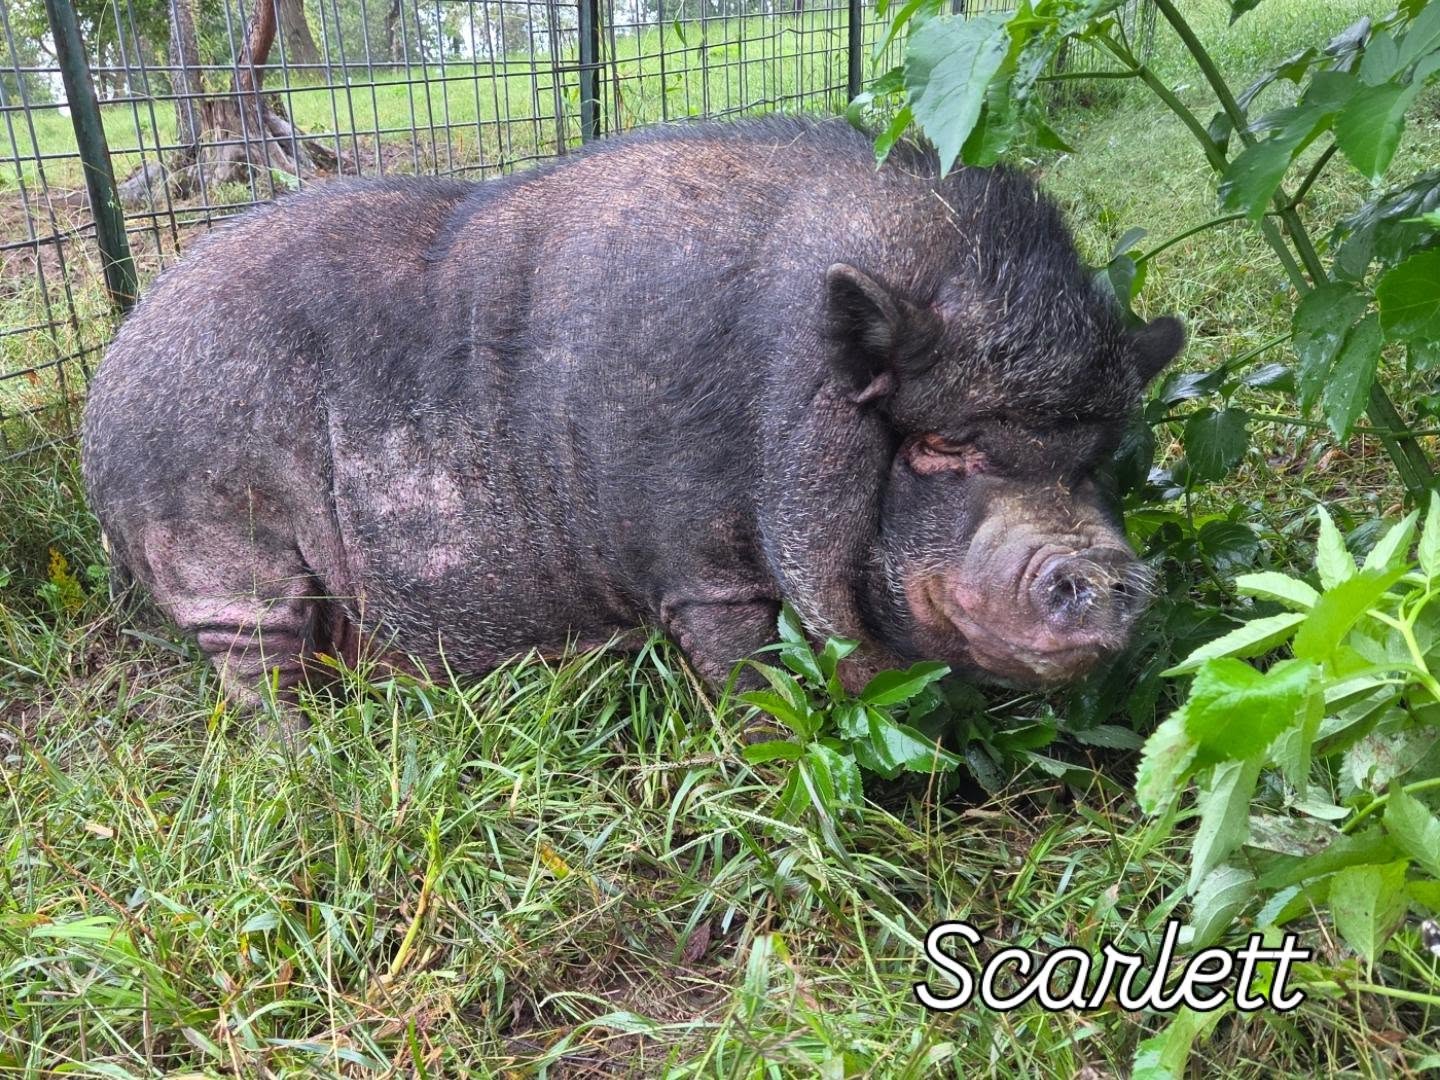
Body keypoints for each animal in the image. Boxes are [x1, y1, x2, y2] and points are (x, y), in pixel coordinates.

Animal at [81, 116, 1184, 712]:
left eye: (1096, 456)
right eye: (943, 446)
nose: (1104, 570)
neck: (789, 392)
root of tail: (108, 376)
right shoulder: (698, 564)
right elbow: (748, 677)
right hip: (219, 553)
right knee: (260, 674)